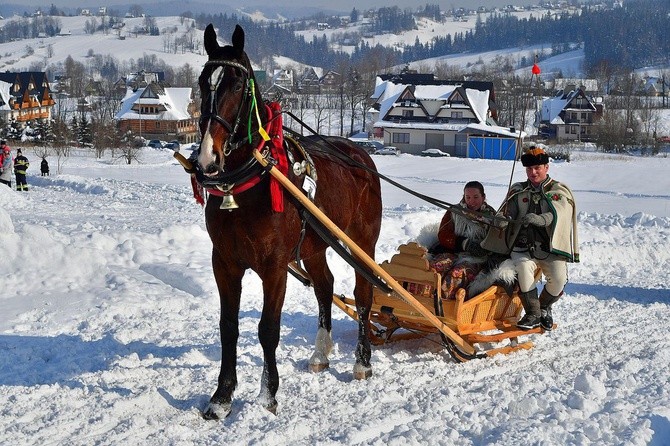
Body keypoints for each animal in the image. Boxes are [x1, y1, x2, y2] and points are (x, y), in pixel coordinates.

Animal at [193, 24, 384, 420]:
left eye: (238, 84)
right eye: (204, 81)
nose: (207, 159)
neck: (249, 183)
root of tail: (359, 155)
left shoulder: (274, 265)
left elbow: (268, 329)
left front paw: (268, 396)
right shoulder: (225, 262)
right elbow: (228, 327)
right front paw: (221, 397)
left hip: (363, 242)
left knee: (363, 296)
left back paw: (362, 362)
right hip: (313, 245)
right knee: (325, 286)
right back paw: (320, 353)